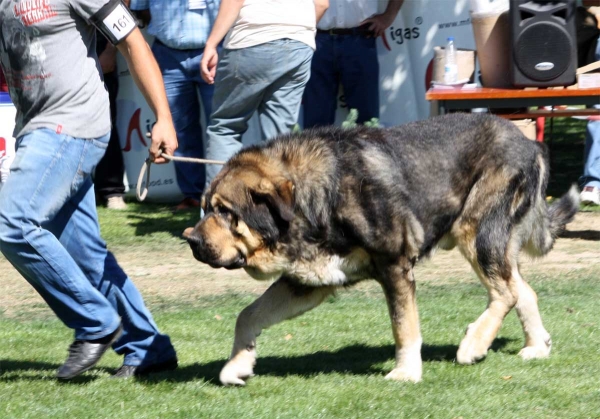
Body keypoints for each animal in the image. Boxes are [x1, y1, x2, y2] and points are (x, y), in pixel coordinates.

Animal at [185, 112, 580, 388]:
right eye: (206, 207)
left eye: (225, 211)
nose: (191, 239)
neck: (316, 198)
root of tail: (531, 144)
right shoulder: (308, 282)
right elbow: (248, 315)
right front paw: (238, 365)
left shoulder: (394, 265)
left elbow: (403, 326)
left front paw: (406, 372)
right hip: (491, 242)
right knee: (521, 290)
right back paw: (536, 346)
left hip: (476, 232)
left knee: (506, 293)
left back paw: (474, 344)